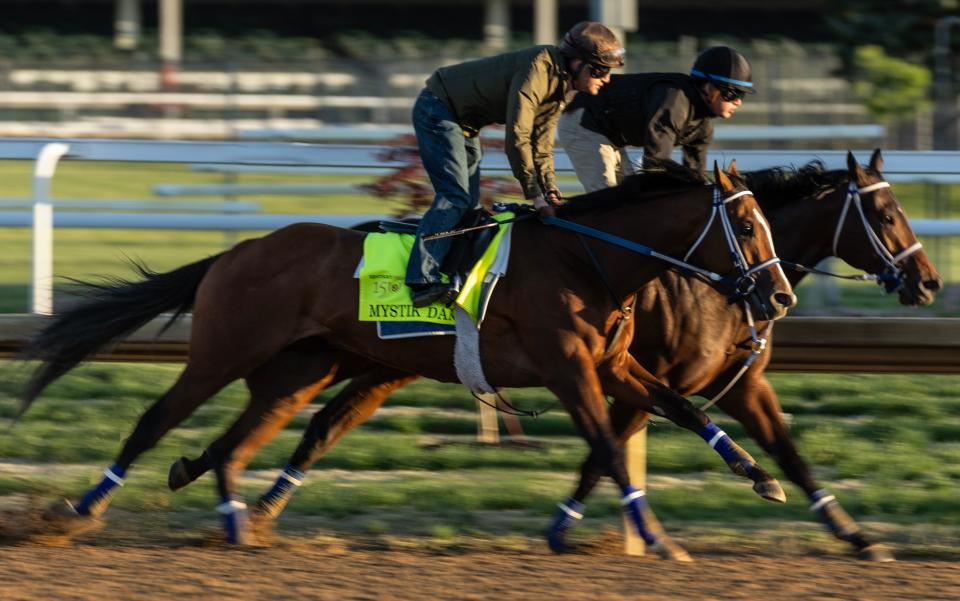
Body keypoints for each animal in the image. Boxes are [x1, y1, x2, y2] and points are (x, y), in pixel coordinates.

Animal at [16, 162, 796, 552]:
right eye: (746, 222)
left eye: (767, 220)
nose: (780, 294)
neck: (586, 257)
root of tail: (239, 251)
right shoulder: (568, 369)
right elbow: (608, 444)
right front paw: (657, 537)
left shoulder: (610, 366)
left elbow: (682, 407)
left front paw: (761, 476)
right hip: (222, 351)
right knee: (155, 421)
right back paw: (75, 513)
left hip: (298, 370)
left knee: (237, 442)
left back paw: (238, 522)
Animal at [172, 149, 936, 556]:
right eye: (886, 213)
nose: (929, 281)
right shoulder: (602, 371)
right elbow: (609, 447)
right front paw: (582, 528)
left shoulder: (717, 381)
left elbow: (779, 449)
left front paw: (849, 529)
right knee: (299, 421)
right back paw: (225, 488)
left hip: (371, 363)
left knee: (318, 423)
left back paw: (228, 488)